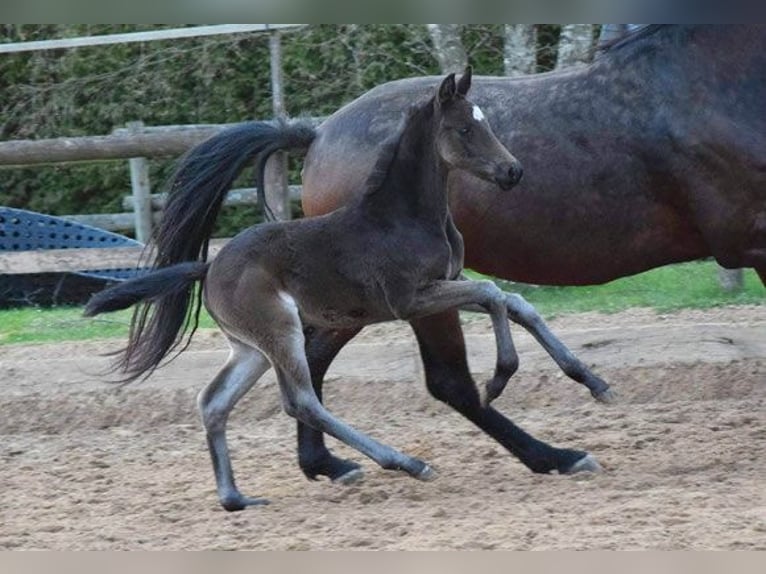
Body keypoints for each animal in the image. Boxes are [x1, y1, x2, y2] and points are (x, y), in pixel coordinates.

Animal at [84, 70, 528, 510]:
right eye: (464, 129)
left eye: (487, 123)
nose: (513, 171)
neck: (403, 218)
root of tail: (209, 267)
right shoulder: (410, 300)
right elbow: (492, 291)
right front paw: (498, 379)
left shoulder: (446, 283)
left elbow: (509, 299)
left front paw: (524, 365)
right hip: (281, 331)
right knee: (300, 401)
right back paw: (405, 463)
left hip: (250, 348)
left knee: (214, 401)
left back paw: (235, 498)